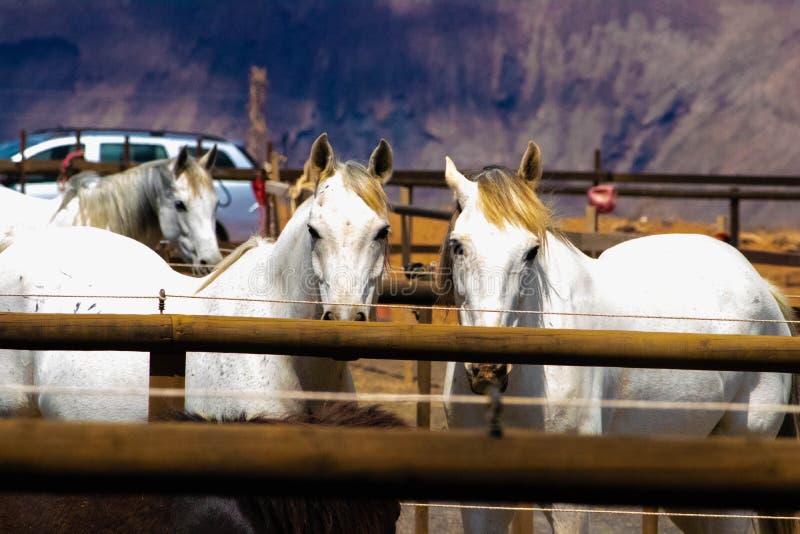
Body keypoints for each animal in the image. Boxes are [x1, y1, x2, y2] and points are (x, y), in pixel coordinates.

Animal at [438, 142, 798, 534]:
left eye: (531, 251)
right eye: (457, 246)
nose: (488, 370)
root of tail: (762, 288)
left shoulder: (568, 505)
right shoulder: (480, 503)